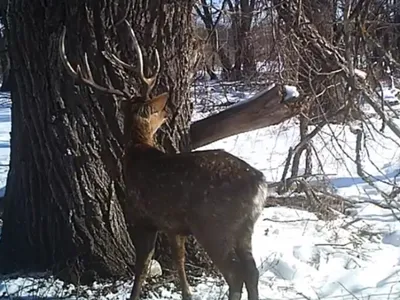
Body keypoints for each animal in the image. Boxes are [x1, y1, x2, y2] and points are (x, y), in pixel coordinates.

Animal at [57, 21, 268, 300]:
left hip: (213, 225)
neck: (137, 153)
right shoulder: (172, 225)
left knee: (236, 275)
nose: (169, 110)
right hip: (244, 228)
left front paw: (135, 295)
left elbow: (143, 265)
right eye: (157, 111)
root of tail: (260, 184)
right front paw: (187, 293)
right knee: (252, 271)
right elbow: (178, 260)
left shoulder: (143, 215)